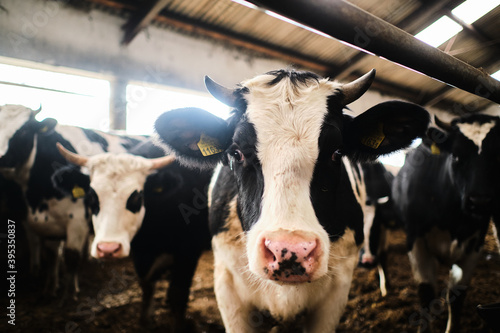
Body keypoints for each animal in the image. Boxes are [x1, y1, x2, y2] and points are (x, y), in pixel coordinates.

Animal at [0, 104, 147, 300]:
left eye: (23, 131)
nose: (0, 157)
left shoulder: (77, 220)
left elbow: (71, 257)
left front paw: (70, 294)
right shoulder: (48, 223)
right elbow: (51, 255)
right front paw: (50, 289)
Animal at [392, 114, 500, 332]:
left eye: (497, 155)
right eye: (456, 156)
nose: (480, 201)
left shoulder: (475, 244)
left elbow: (457, 296)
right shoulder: (415, 241)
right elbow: (426, 294)